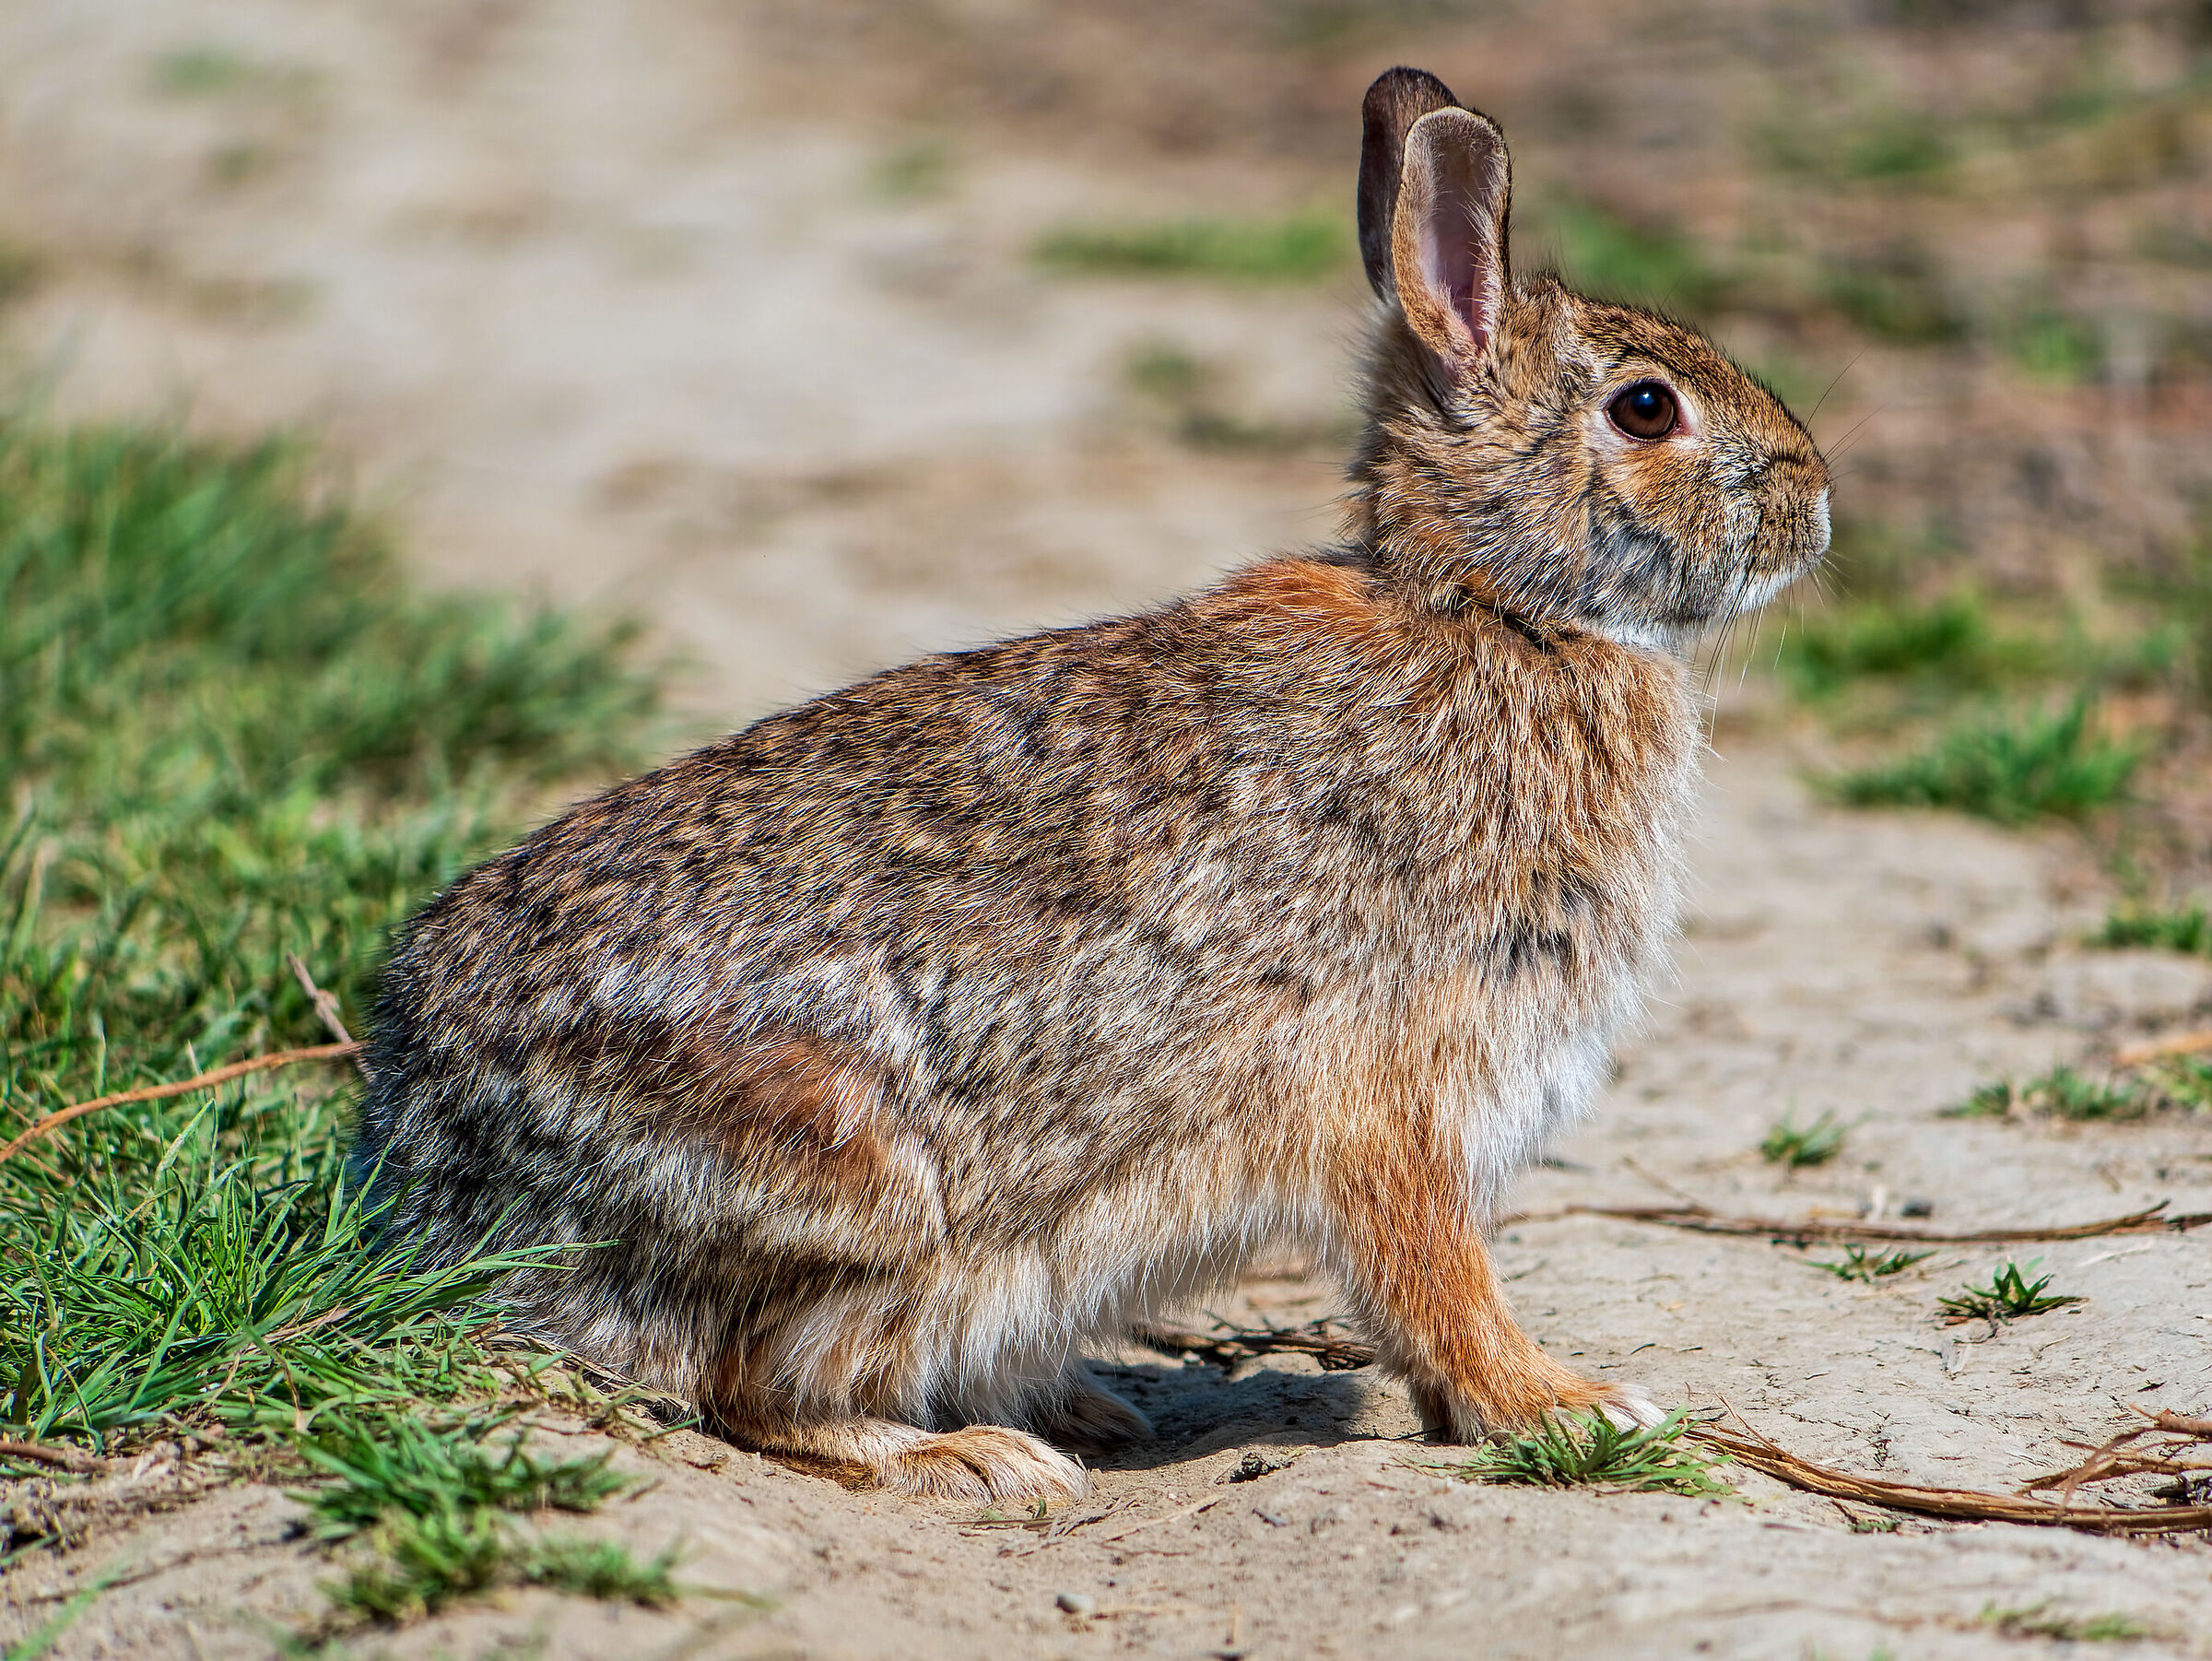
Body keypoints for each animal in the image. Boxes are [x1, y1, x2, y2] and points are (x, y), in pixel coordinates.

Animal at [351, 65, 1831, 1504]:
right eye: (1647, 407)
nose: (1818, 508)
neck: (1496, 608)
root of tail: (428, 1133)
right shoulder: (1400, 1091)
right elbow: (1438, 1279)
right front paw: (1568, 1406)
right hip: (856, 1193)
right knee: (751, 1387)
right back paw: (978, 1455)